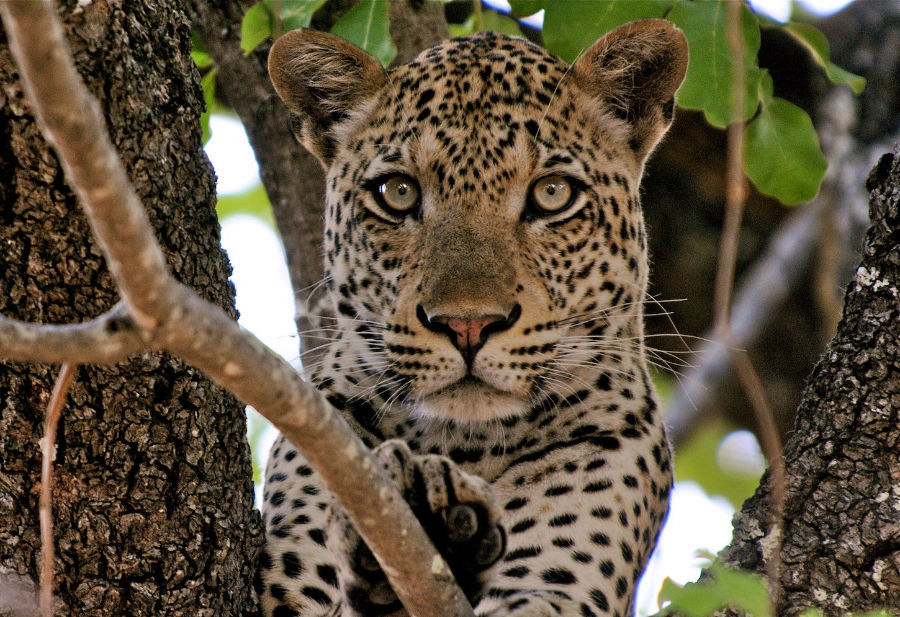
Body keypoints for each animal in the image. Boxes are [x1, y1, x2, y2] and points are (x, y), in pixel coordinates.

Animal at [257, 18, 688, 617]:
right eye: (398, 192)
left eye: (553, 193)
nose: (467, 326)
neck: (464, 445)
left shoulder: (558, 590)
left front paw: (439, 527)